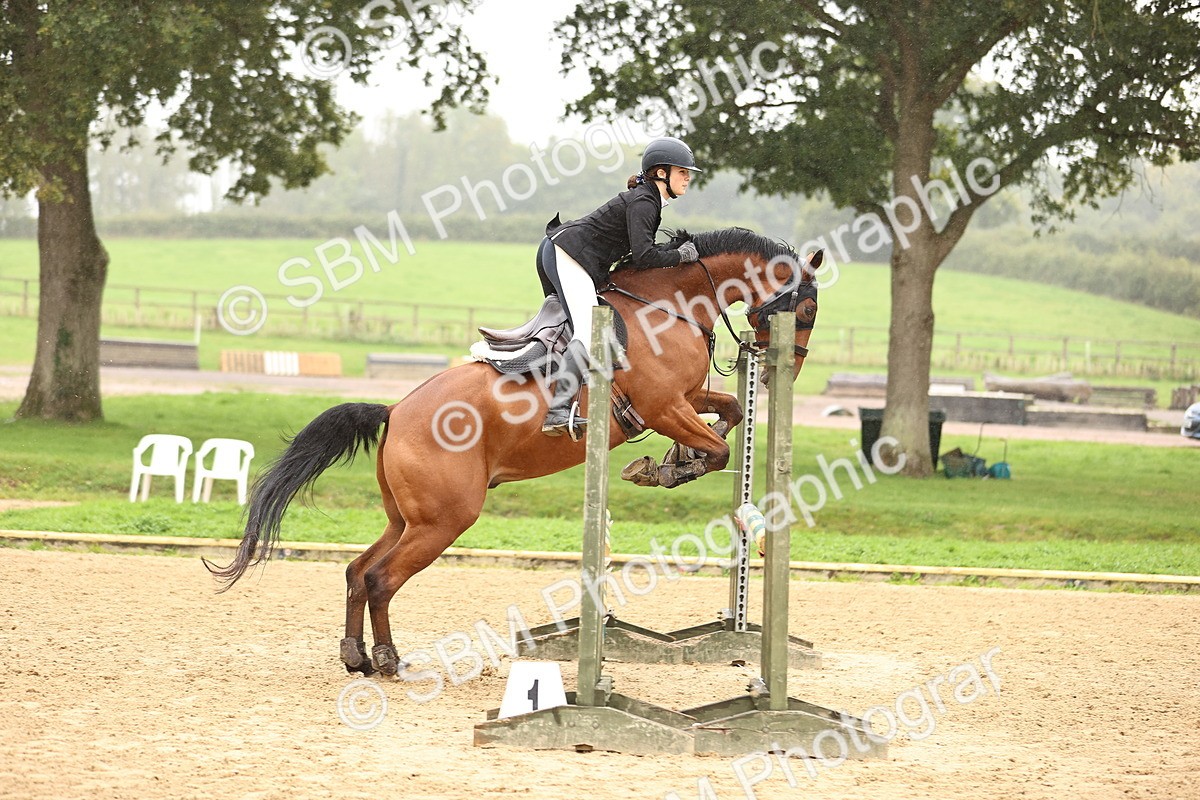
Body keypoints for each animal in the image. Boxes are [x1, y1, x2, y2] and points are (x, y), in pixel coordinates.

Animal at [205, 227, 820, 676]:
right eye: (807, 311)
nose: (783, 373)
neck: (668, 304)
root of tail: (395, 411)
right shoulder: (664, 404)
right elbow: (718, 447)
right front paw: (662, 469)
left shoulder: (684, 399)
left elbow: (728, 415)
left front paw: (671, 461)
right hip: (446, 519)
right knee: (380, 579)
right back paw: (386, 660)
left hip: (408, 517)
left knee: (359, 571)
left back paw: (355, 655)